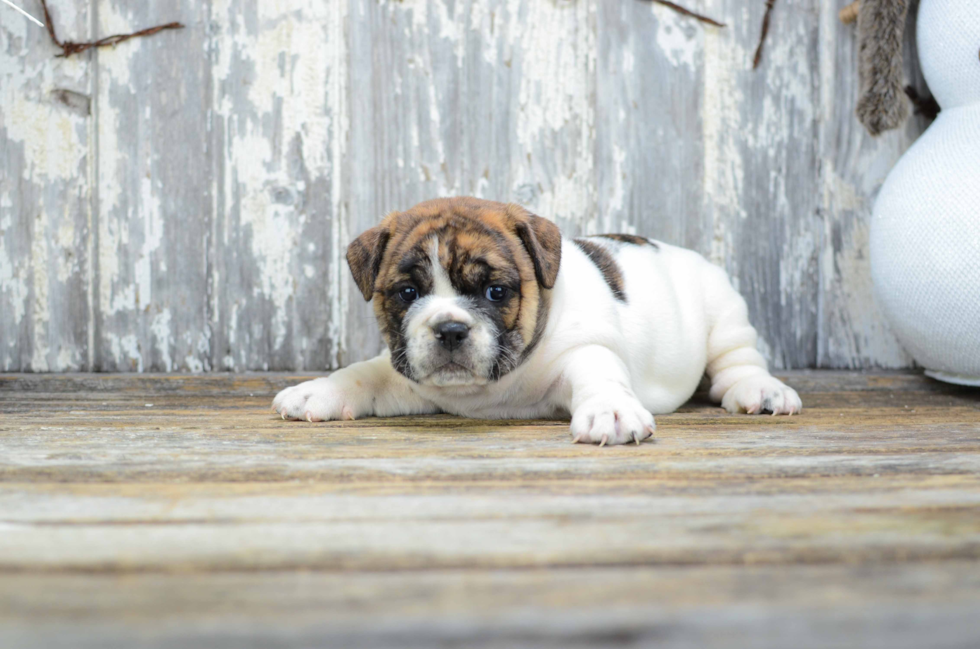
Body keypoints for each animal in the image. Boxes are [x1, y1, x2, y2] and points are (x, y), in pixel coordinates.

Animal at [272, 195, 800, 442]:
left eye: (496, 291)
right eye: (408, 293)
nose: (449, 328)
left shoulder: (586, 351)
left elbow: (600, 376)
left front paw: (609, 409)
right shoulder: (407, 375)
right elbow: (364, 373)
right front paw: (319, 390)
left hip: (724, 312)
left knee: (738, 361)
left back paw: (760, 390)